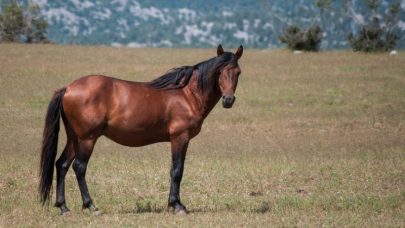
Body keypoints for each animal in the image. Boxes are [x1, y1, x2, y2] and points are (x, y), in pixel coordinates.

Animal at [39, 44, 241, 216]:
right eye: (219, 71)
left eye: (238, 72)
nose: (228, 100)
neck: (186, 94)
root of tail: (68, 88)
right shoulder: (180, 138)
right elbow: (177, 170)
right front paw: (177, 205)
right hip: (88, 138)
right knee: (79, 167)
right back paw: (91, 206)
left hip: (74, 138)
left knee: (62, 165)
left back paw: (63, 207)